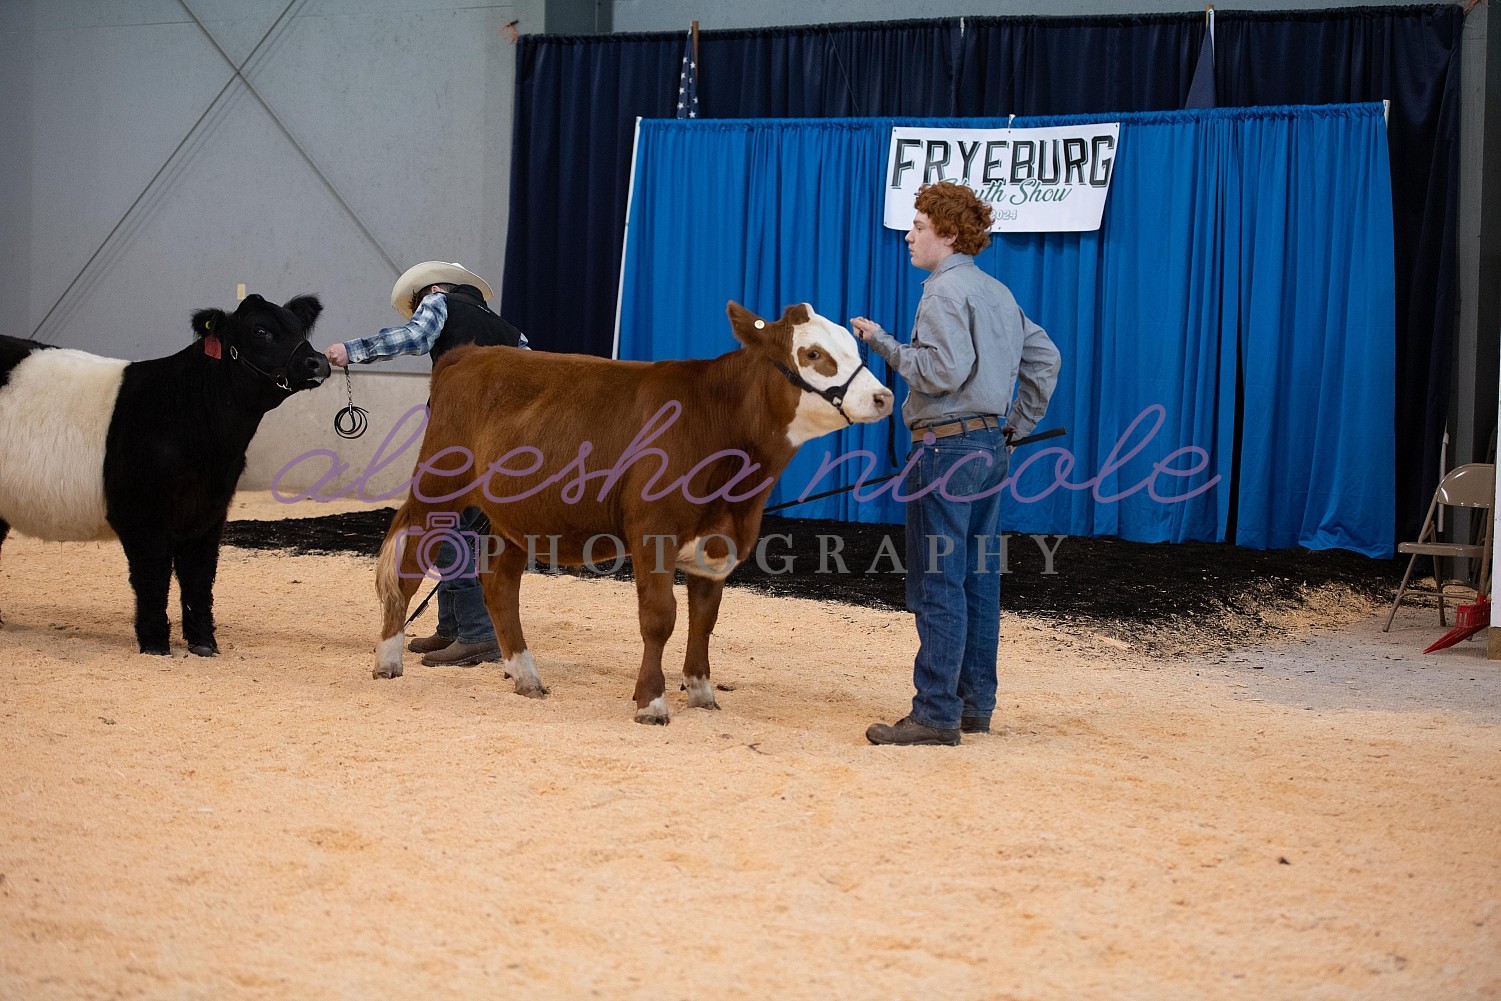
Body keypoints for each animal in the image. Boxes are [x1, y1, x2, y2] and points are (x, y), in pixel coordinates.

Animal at [373, 301, 888, 723]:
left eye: (852, 345)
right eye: (814, 354)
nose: (883, 397)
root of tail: (470, 354)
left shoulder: (717, 542)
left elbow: (705, 618)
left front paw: (701, 694)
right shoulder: (653, 531)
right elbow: (660, 616)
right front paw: (651, 703)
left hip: (513, 517)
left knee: (500, 585)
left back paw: (527, 678)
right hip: (438, 490)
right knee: (409, 567)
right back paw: (388, 661)